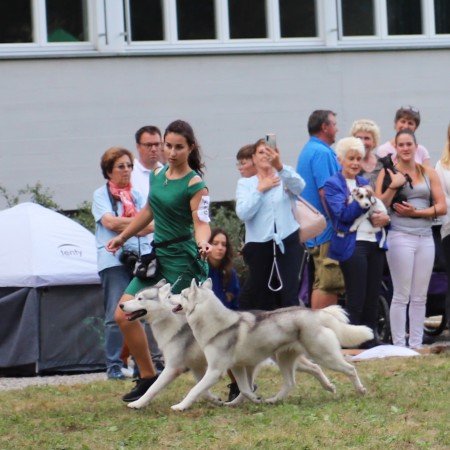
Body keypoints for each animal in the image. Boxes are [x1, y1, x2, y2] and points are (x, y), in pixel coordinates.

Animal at [118, 280, 220, 410]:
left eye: (140, 299)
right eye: (135, 296)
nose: (121, 305)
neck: (167, 316)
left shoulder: (172, 368)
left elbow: (152, 388)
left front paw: (138, 403)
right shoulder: (196, 366)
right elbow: (203, 390)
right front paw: (215, 399)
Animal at [169, 280, 372, 414]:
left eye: (183, 293)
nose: (170, 294)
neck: (217, 325)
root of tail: (316, 312)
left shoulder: (215, 371)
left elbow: (195, 389)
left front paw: (180, 406)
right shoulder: (238, 367)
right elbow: (245, 389)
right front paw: (251, 400)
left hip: (324, 356)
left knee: (349, 368)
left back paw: (360, 390)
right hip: (286, 359)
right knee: (297, 378)